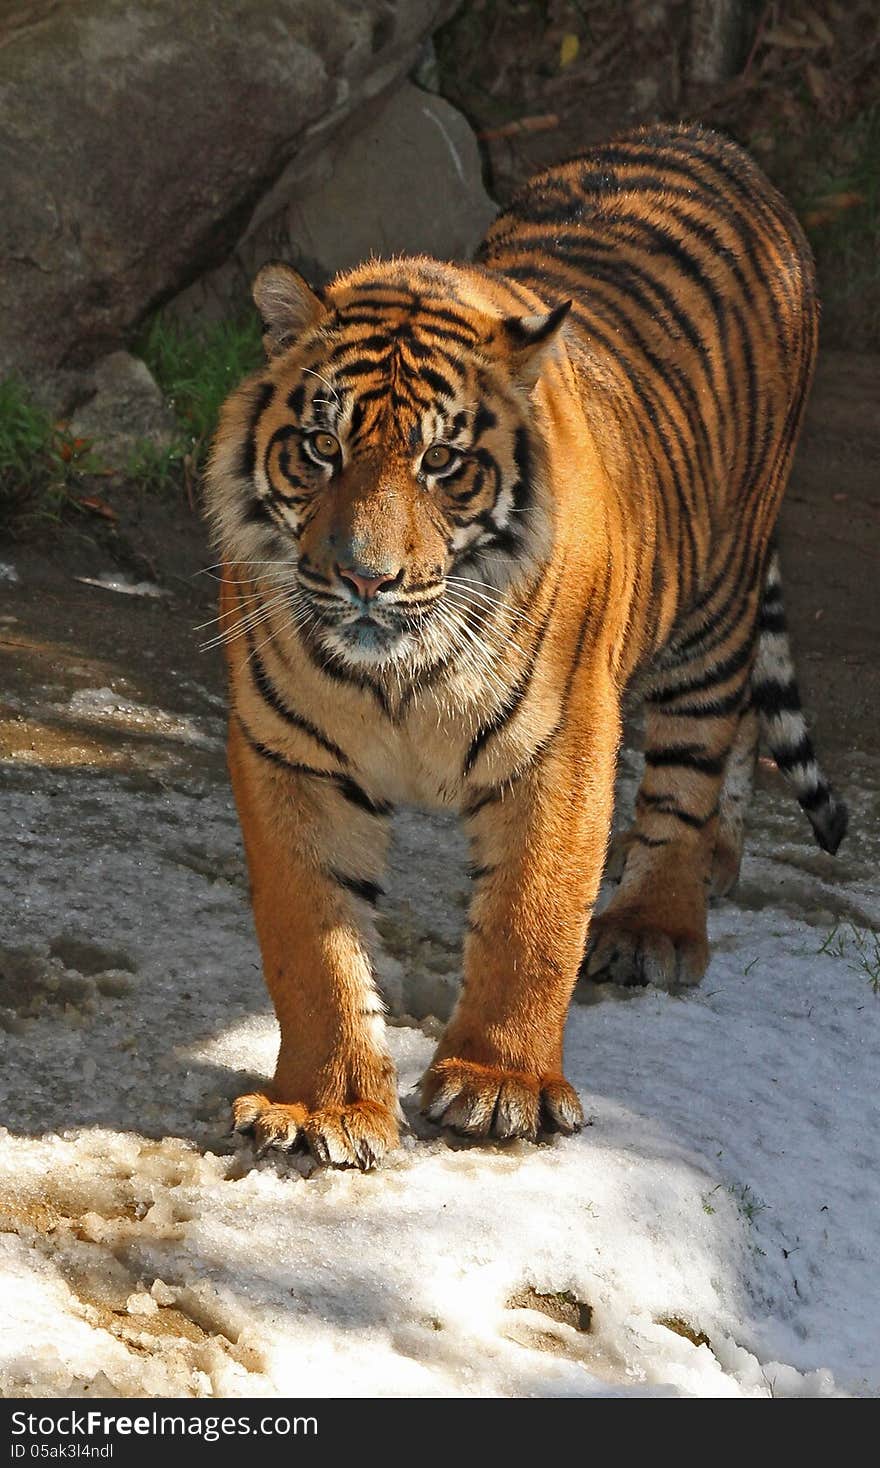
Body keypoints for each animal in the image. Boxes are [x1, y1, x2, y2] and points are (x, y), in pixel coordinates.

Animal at [204, 120, 846, 1168]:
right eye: (321, 448)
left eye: (442, 460)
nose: (364, 577)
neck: (401, 678)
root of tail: (706, 138)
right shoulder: (286, 753)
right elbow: (313, 941)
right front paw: (322, 1105)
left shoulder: (562, 742)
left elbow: (531, 916)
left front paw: (499, 1085)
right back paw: (717, 863)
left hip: (715, 601)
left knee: (701, 749)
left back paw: (659, 918)